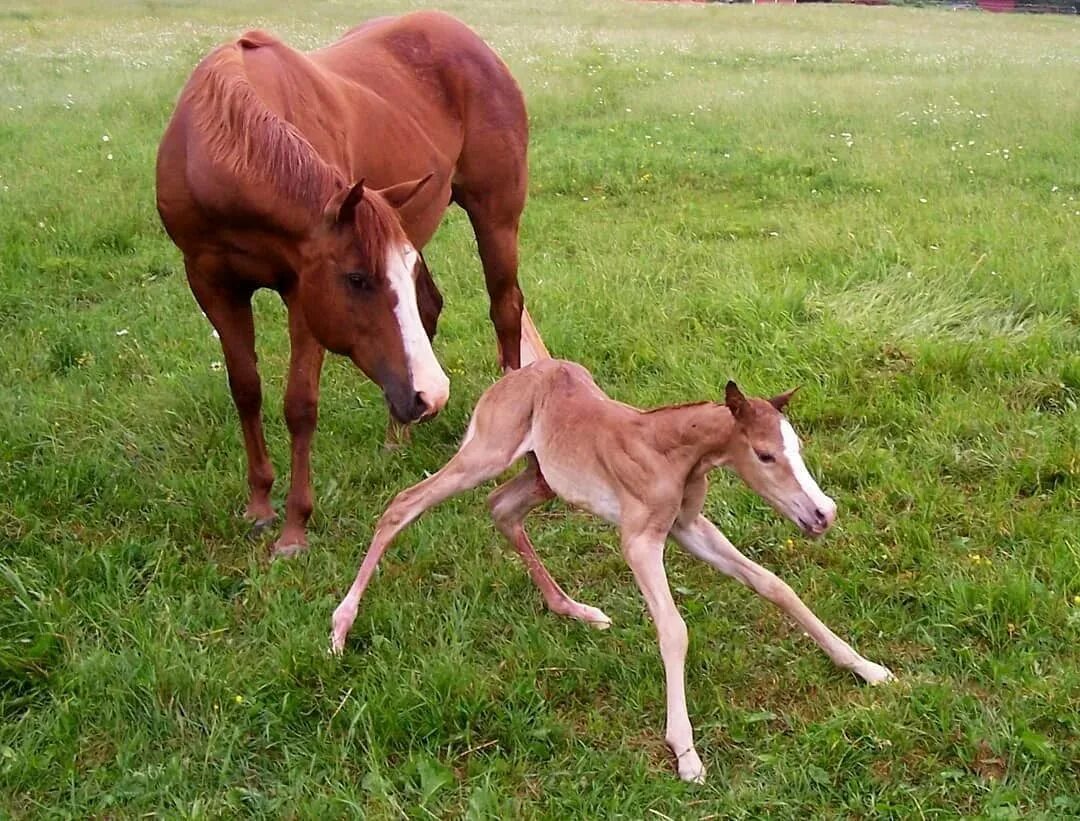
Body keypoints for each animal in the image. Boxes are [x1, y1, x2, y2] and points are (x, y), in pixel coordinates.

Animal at [155, 9, 544, 553]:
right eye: (358, 278)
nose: (431, 395)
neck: (215, 155)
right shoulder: (212, 283)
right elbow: (245, 389)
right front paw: (259, 504)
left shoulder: (302, 291)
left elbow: (300, 404)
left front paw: (294, 529)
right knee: (430, 308)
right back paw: (396, 439)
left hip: (496, 216)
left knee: (505, 307)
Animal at [330, 358, 894, 782]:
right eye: (764, 454)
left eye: (797, 447)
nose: (823, 514)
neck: (674, 451)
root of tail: (513, 377)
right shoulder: (639, 541)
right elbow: (673, 629)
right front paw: (686, 753)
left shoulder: (689, 528)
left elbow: (774, 585)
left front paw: (865, 667)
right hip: (485, 454)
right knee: (404, 504)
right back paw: (340, 627)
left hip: (542, 477)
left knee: (501, 509)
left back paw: (574, 610)